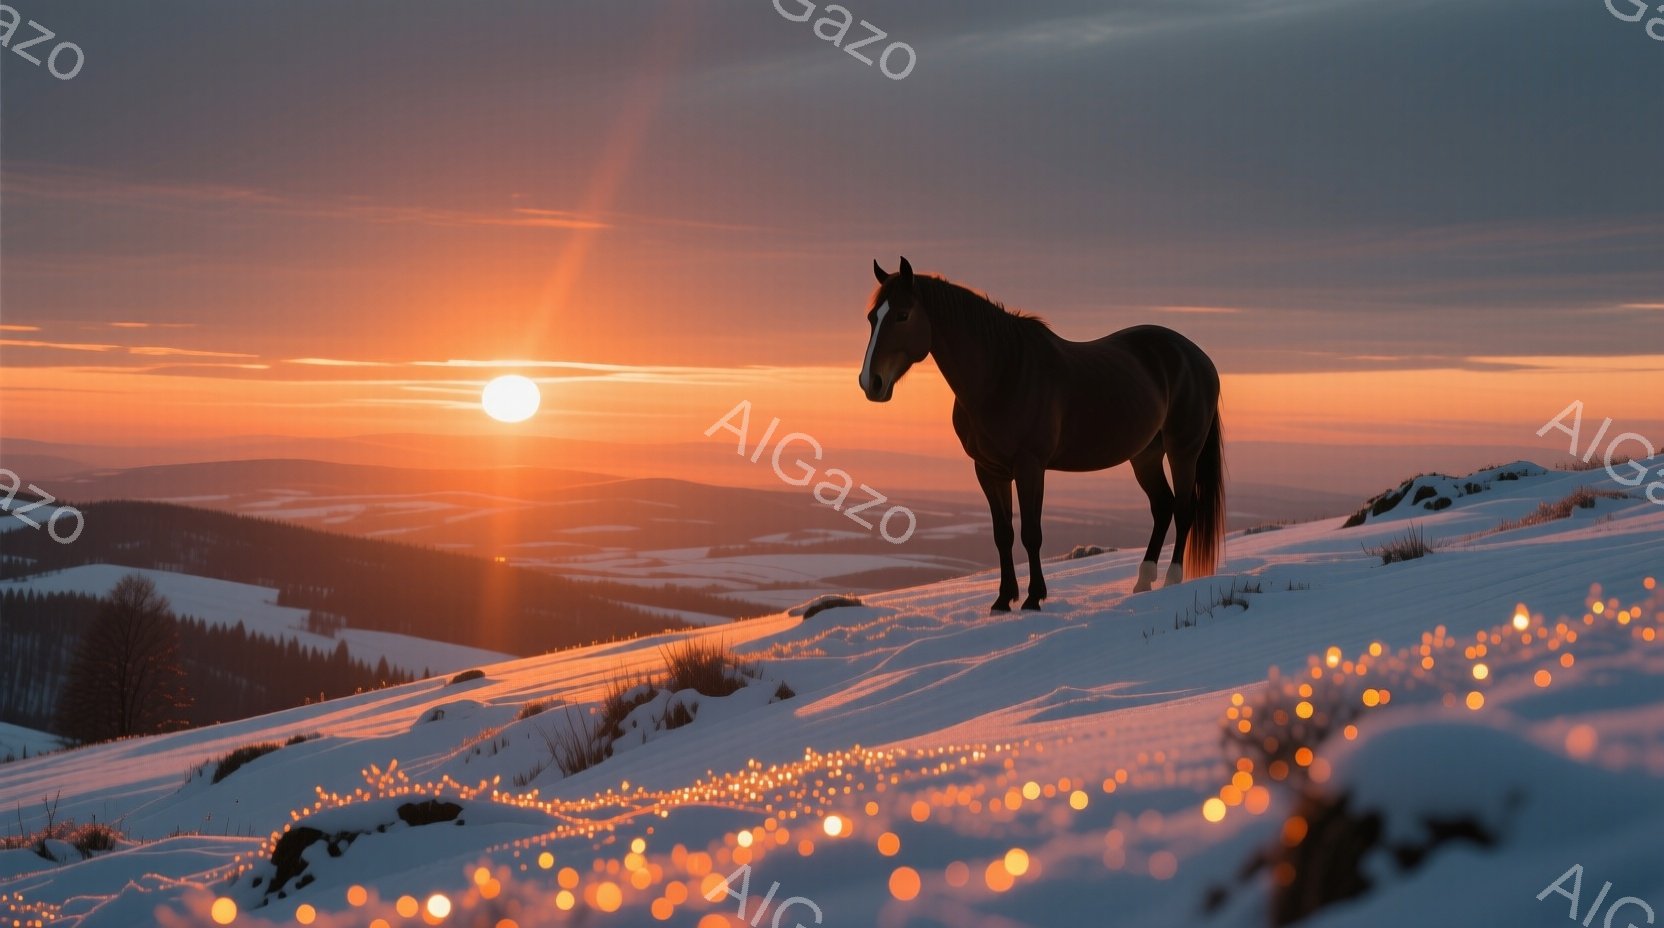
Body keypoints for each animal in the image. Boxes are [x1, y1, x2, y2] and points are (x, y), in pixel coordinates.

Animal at [859, 257, 1224, 612]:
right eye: (872, 318)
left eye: (903, 315)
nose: (870, 382)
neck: (1002, 375)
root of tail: (1198, 357)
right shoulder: (988, 470)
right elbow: (1002, 534)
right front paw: (1003, 600)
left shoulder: (1030, 467)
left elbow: (1031, 533)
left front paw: (1034, 598)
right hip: (1145, 454)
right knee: (1162, 506)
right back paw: (1143, 582)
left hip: (1182, 451)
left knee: (1183, 507)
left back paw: (1172, 580)